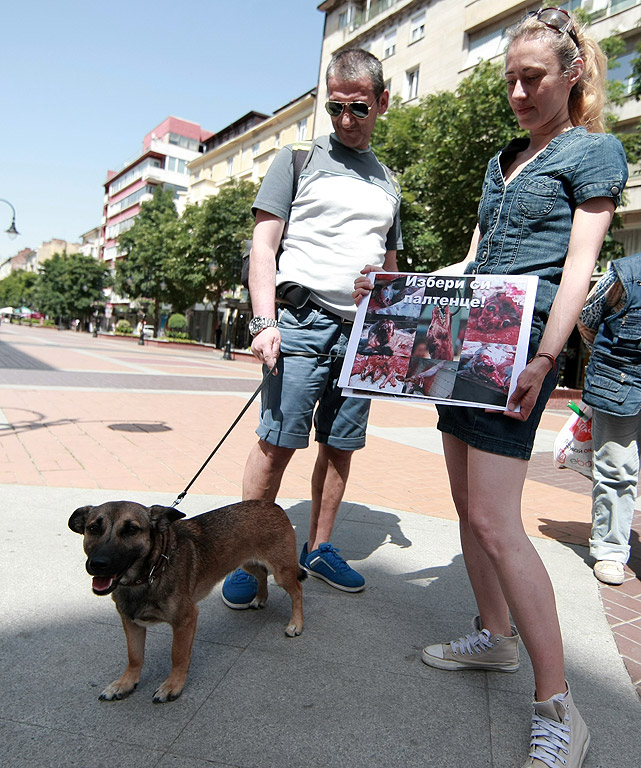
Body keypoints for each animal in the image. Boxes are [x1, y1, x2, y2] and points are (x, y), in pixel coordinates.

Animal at [69, 498, 304, 704]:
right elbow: (134, 656)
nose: (98, 564)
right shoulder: (131, 622)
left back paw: (296, 624)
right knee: (262, 574)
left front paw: (173, 686)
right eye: (93, 528)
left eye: (131, 530)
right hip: (246, 563)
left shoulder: (185, 620)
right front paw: (125, 683)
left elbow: (178, 655)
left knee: (297, 591)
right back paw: (260, 597)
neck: (152, 571)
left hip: (281, 572)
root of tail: (272, 505)